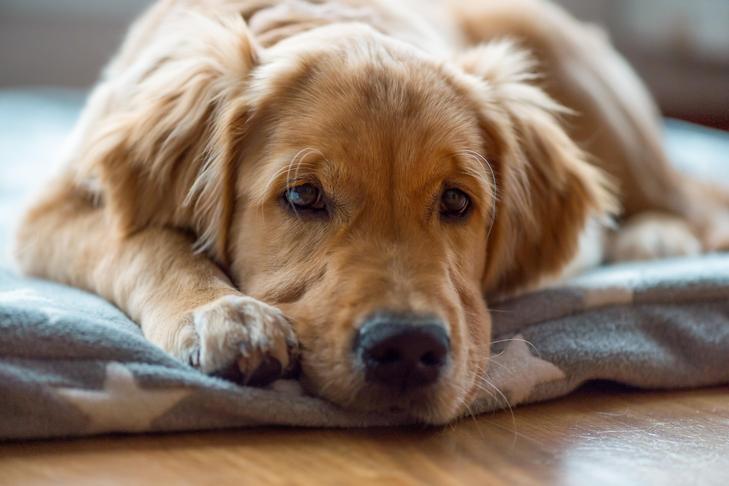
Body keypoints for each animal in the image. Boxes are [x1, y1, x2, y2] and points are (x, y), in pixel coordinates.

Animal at [15, 0, 728, 424]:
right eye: (303, 196)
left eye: (456, 200)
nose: (408, 349)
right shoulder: (48, 212)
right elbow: (144, 242)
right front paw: (222, 314)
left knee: (687, 195)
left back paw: (655, 236)